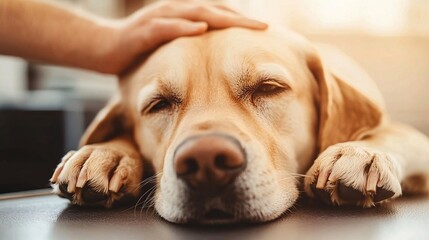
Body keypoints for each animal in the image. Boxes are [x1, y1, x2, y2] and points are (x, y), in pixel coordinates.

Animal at [50, 27, 428, 224]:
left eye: (269, 88)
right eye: (158, 104)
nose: (206, 162)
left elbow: (390, 133)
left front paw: (358, 153)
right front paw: (105, 154)